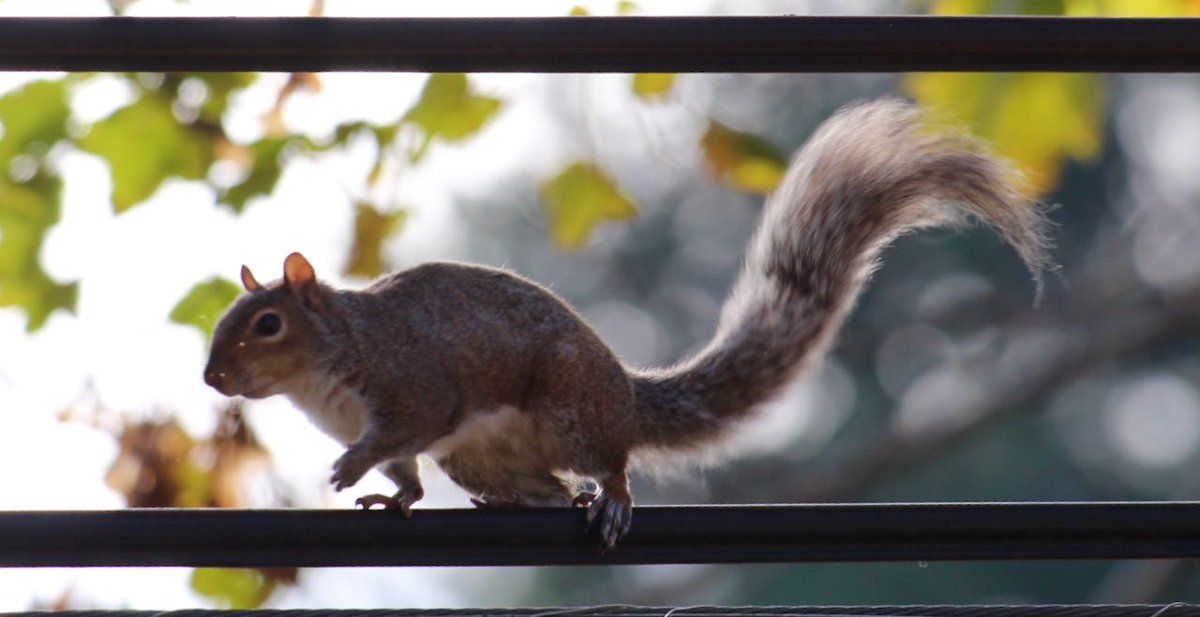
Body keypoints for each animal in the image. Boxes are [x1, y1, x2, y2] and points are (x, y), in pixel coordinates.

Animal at [203, 99, 1050, 548]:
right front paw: (393, 498)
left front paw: (352, 467)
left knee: (609, 464)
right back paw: (524, 502)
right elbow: (405, 471)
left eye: (268, 323)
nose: (212, 377)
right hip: (479, 456)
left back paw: (609, 497)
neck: (323, 373)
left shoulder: (412, 385)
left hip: (573, 409)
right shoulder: (407, 433)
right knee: (546, 489)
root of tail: (625, 392)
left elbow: (401, 430)